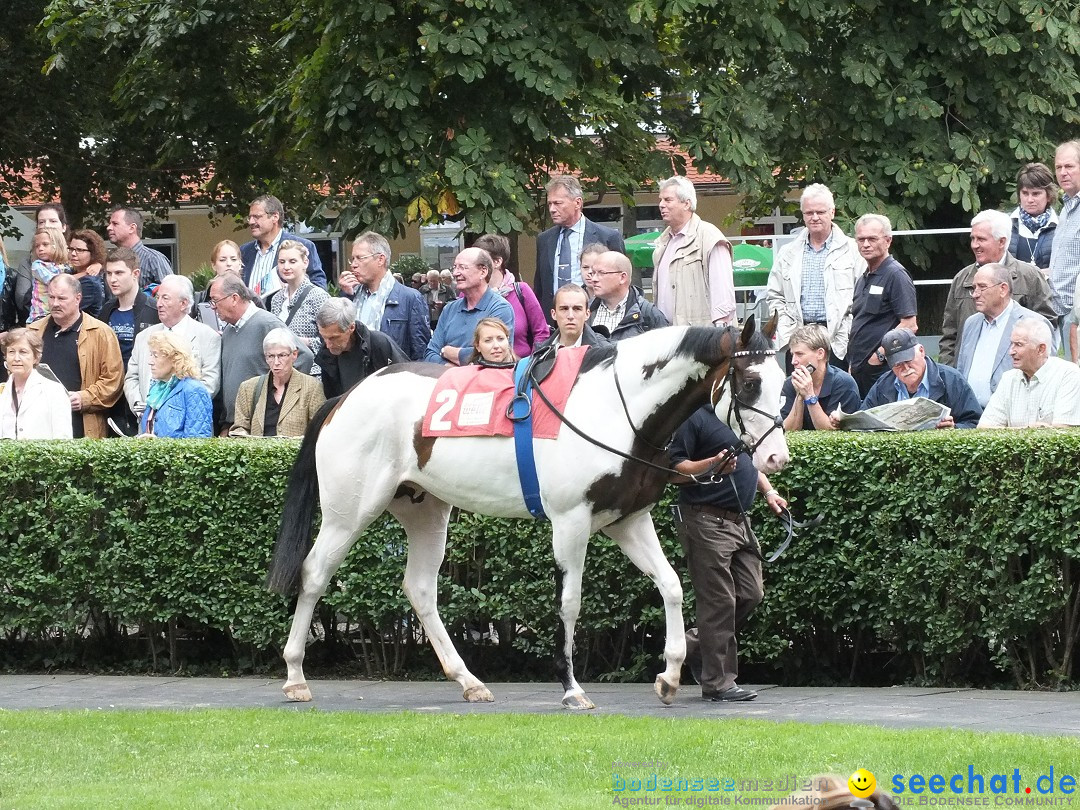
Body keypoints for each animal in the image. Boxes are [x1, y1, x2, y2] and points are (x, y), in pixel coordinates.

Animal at [265, 317, 790, 708]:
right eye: (750, 383)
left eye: (785, 385)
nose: (775, 458)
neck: (616, 408)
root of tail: (345, 396)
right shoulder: (571, 521)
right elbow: (570, 603)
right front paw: (572, 688)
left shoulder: (627, 519)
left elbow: (673, 585)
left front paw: (671, 674)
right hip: (349, 512)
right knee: (314, 573)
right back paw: (294, 676)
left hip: (425, 510)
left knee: (419, 588)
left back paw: (468, 680)